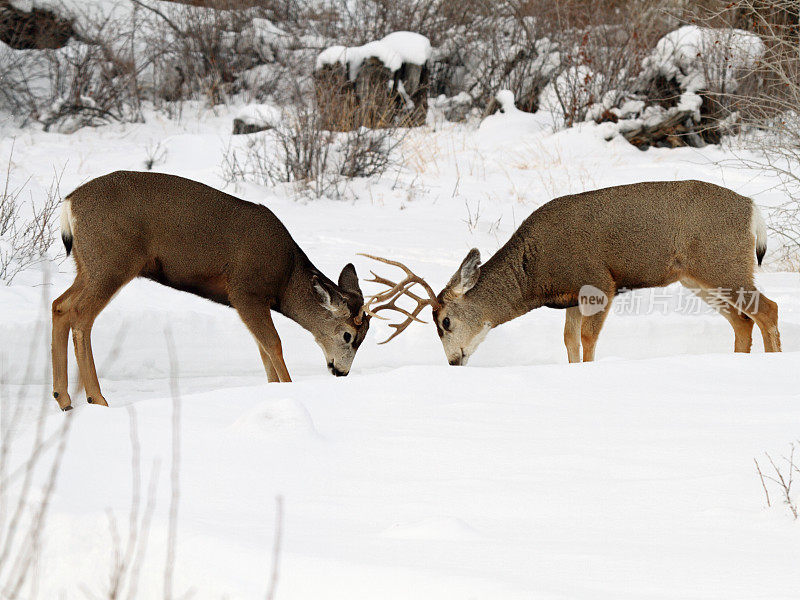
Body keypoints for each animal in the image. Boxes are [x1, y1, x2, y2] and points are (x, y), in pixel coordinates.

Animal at [51, 171, 370, 410]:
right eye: (348, 335)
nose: (341, 371)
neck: (286, 278)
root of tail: (69, 203)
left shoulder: (248, 301)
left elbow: (263, 350)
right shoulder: (245, 290)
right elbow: (274, 345)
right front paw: (289, 389)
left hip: (87, 264)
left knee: (60, 305)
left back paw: (63, 398)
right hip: (113, 260)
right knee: (80, 315)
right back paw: (96, 398)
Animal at [360, 179, 780, 366]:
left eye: (445, 322)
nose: (453, 360)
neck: (537, 273)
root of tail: (752, 210)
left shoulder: (599, 282)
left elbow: (589, 340)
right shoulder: (571, 298)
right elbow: (569, 342)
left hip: (721, 263)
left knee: (767, 310)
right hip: (699, 277)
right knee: (743, 321)